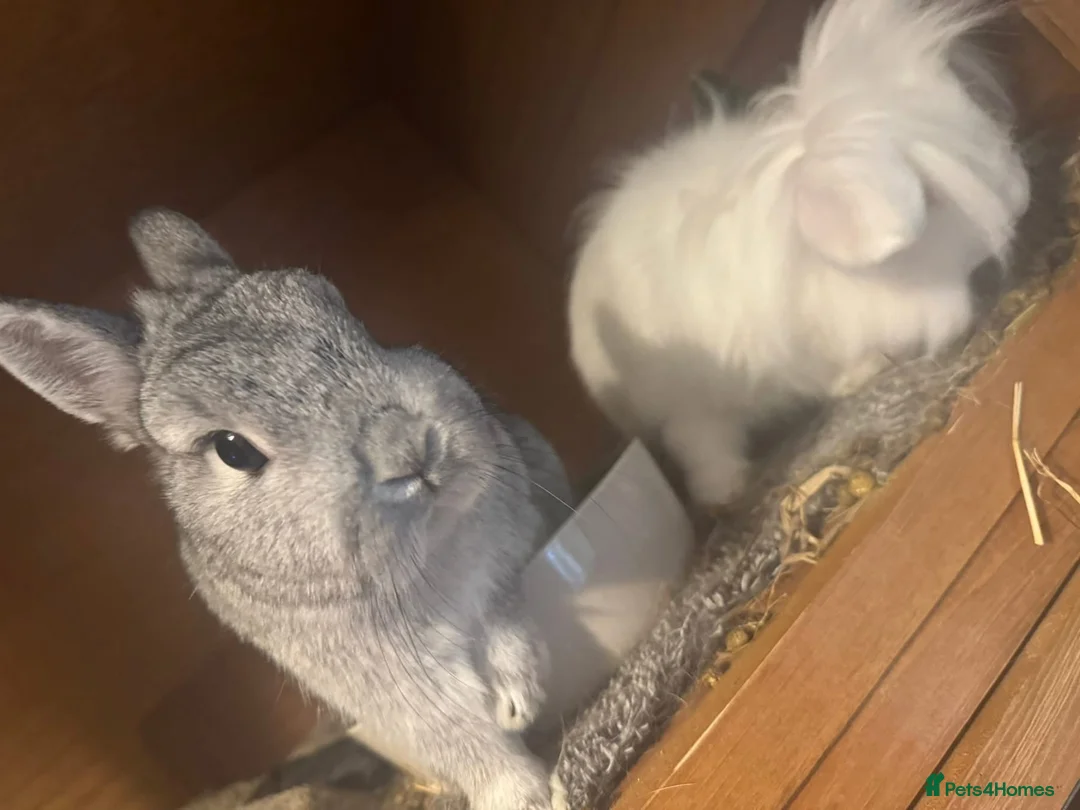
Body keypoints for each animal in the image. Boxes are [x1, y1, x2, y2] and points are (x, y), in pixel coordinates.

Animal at [0, 209, 572, 810]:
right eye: (232, 450)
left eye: (342, 312)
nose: (408, 445)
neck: (423, 555)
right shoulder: (398, 693)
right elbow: (464, 742)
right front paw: (529, 795)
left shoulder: (506, 550)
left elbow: (504, 612)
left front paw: (519, 698)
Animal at [568, 0, 1031, 508]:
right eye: (931, 198)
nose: (1021, 199)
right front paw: (862, 373)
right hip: (686, 404)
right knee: (702, 443)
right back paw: (727, 488)